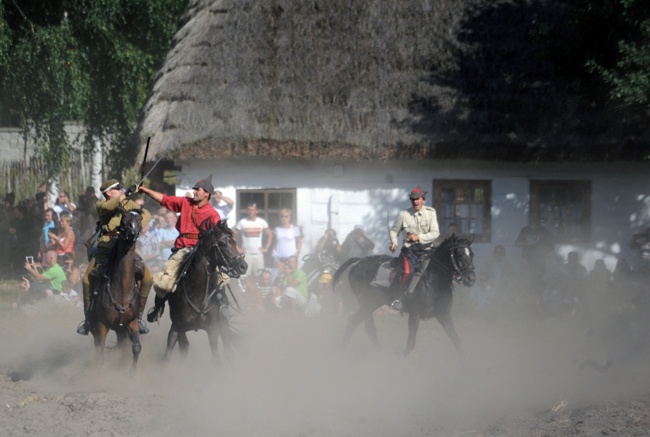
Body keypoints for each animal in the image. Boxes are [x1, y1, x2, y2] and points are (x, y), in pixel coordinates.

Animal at [88, 206, 143, 370]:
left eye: (139, 219)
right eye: (124, 219)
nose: (132, 231)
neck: (122, 290)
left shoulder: (131, 323)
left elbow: (136, 347)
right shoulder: (102, 326)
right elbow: (100, 353)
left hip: (121, 330)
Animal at [162, 220, 248, 366]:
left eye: (235, 242)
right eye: (222, 243)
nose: (243, 266)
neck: (197, 293)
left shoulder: (213, 329)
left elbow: (216, 357)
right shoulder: (176, 327)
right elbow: (167, 356)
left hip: (223, 326)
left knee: (228, 349)